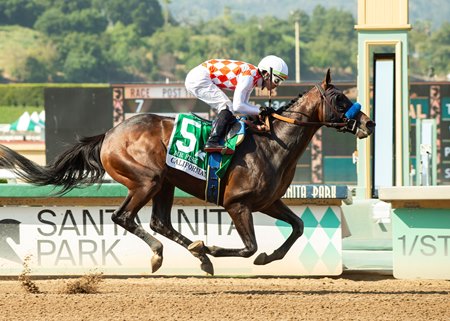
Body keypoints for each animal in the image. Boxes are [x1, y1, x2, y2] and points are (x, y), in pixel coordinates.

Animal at [0, 70, 372, 276]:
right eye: (340, 99)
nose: (369, 123)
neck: (273, 143)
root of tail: (110, 134)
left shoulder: (267, 201)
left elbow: (296, 227)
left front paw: (269, 257)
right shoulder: (237, 203)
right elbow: (248, 247)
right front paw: (213, 248)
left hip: (165, 182)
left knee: (159, 222)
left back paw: (196, 255)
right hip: (146, 181)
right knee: (125, 218)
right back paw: (167, 254)